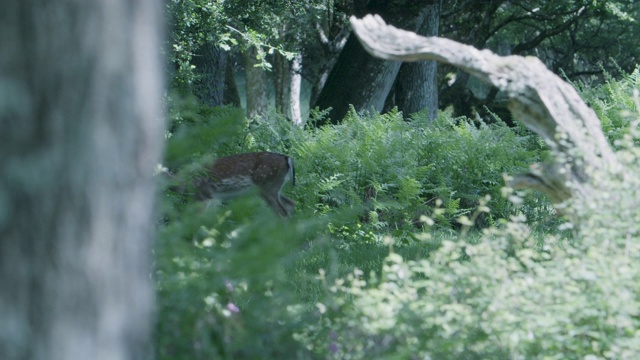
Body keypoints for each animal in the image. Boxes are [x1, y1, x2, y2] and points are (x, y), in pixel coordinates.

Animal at [166, 151, 296, 217]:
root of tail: (287, 158)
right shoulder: (213, 199)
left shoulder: (204, 195)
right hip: (273, 188)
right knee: (290, 203)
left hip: (267, 186)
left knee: (283, 212)